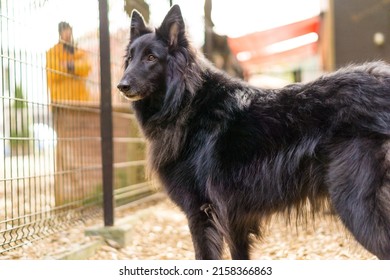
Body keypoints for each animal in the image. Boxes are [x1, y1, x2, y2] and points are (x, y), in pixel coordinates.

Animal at [118, 4, 390, 260]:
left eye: (151, 57)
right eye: (130, 58)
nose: (121, 85)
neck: (185, 101)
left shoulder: (201, 213)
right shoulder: (234, 221)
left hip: (355, 204)